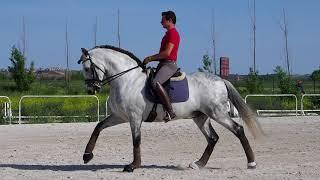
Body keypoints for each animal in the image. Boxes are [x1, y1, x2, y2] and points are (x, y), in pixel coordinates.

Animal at [77, 44, 262, 172]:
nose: (91, 90)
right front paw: (87, 155)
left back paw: (251, 163)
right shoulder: (121, 116)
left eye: (87, 68)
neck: (127, 79)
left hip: (217, 113)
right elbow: (98, 127)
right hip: (200, 116)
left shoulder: (134, 117)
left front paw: (133, 165)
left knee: (237, 129)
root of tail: (221, 80)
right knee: (213, 138)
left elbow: (136, 140)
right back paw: (198, 164)